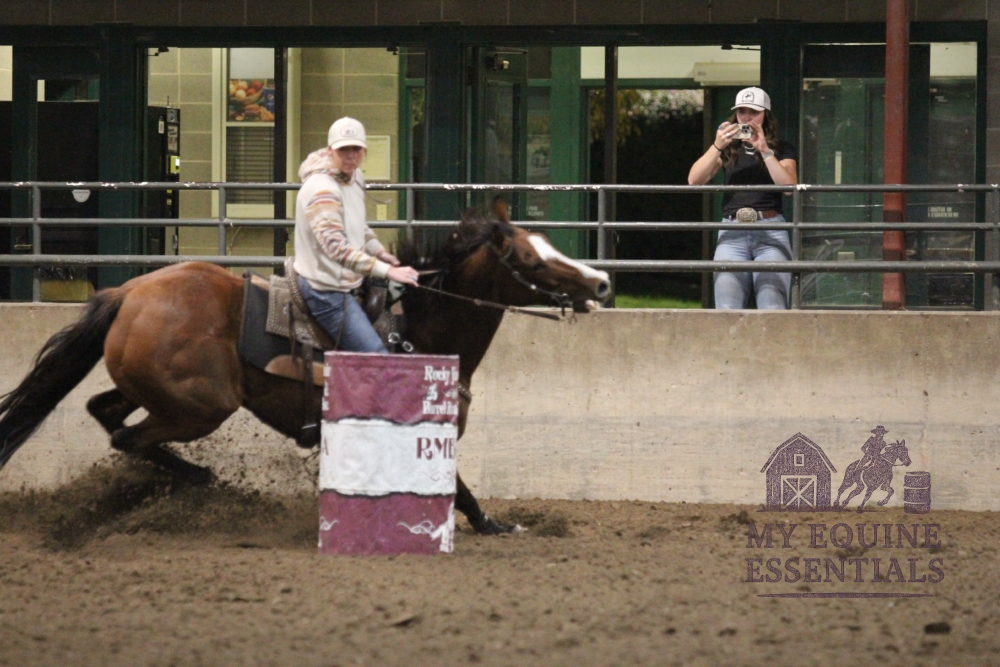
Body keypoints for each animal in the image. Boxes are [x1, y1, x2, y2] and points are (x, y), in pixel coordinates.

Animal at [0, 202, 611, 535]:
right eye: (532, 261)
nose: (602, 282)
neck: (417, 328)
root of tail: (129, 291)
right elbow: (457, 488)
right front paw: (492, 524)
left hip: (151, 389)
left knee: (104, 412)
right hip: (200, 407)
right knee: (127, 439)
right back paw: (200, 480)